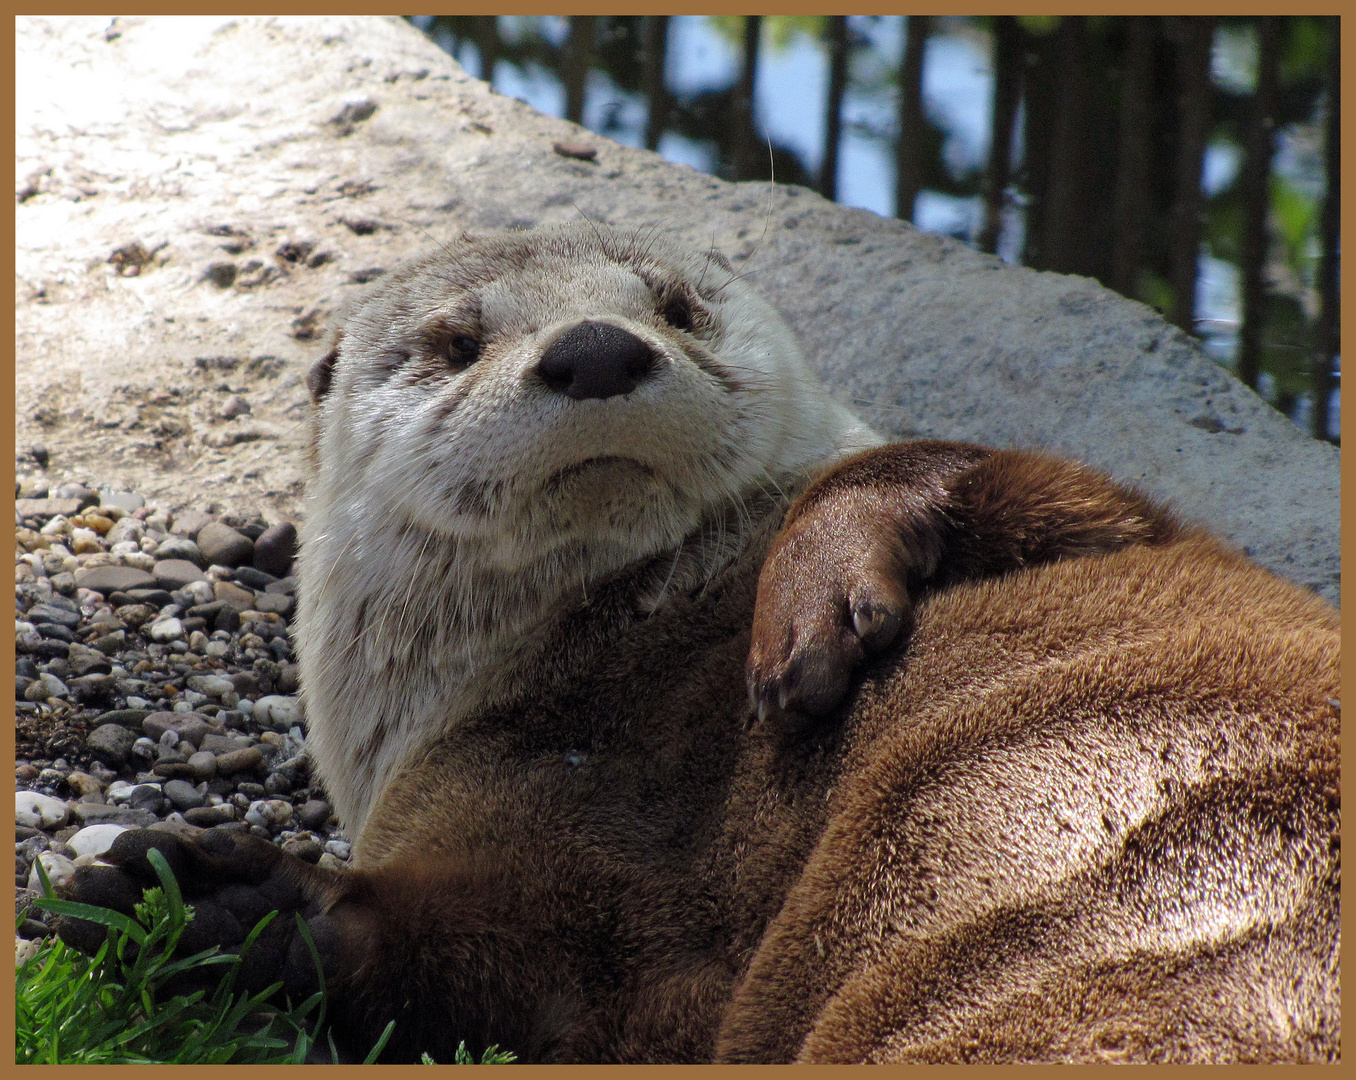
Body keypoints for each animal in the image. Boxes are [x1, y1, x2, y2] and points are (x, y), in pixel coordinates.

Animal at [63, 221, 1334, 1063]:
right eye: (455, 341)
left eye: (674, 306)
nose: (593, 347)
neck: (629, 649)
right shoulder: (563, 913)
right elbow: (486, 960)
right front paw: (193, 896)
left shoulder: (1121, 527)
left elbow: (971, 472)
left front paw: (810, 617)